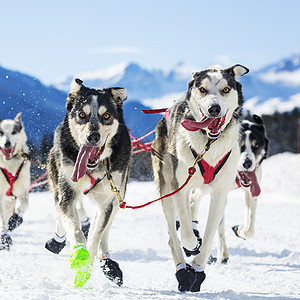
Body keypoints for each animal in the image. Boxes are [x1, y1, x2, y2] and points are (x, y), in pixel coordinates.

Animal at [46, 79, 131, 288]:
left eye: (106, 115)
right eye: (82, 115)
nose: (93, 136)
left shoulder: (107, 201)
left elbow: (96, 235)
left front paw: (86, 266)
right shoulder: (67, 193)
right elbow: (76, 230)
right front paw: (79, 256)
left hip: (119, 197)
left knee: (105, 231)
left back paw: (107, 261)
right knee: (60, 209)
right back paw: (57, 239)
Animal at [152, 64, 248, 292]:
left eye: (225, 89)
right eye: (202, 89)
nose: (214, 108)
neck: (209, 144)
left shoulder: (220, 195)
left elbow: (211, 234)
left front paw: (197, 269)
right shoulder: (180, 186)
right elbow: (186, 233)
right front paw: (191, 247)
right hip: (166, 187)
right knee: (174, 235)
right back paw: (182, 270)